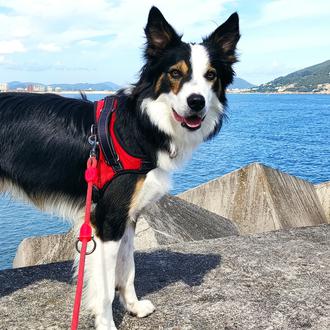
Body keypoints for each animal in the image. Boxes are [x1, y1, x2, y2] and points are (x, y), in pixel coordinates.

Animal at [0, 5, 238, 330]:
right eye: (175, 73)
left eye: (211, 75)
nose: (196, 102)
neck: (142, 124)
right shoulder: (108, 219)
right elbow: (103, 287)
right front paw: (107, 323)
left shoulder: (129, 216)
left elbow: (128, 269)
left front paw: (134, 307)